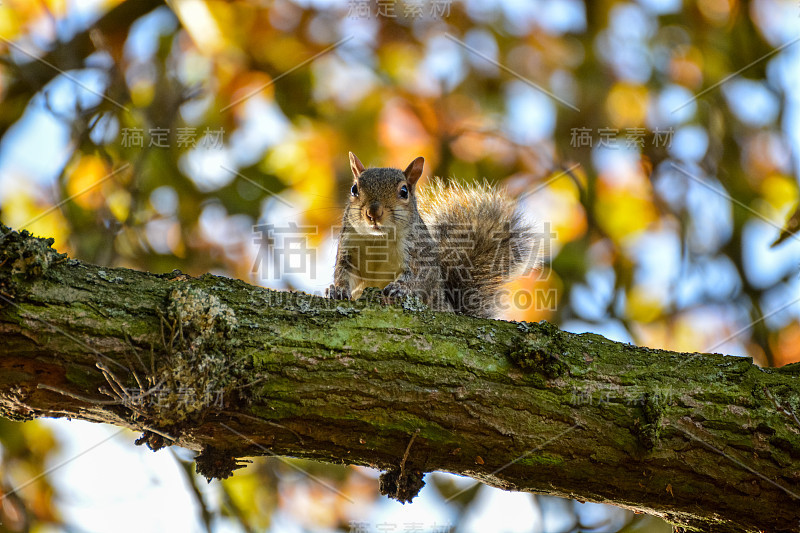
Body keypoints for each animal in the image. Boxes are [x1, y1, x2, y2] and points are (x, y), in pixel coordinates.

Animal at [324, 152, 536, 318]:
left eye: (404, 191)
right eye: (354, 189)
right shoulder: (348, 247)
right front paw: (337, 289)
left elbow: (419, 277)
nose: (373, 213)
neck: (379, 240)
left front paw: (399, 288)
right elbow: (344, 273)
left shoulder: (418, 252)